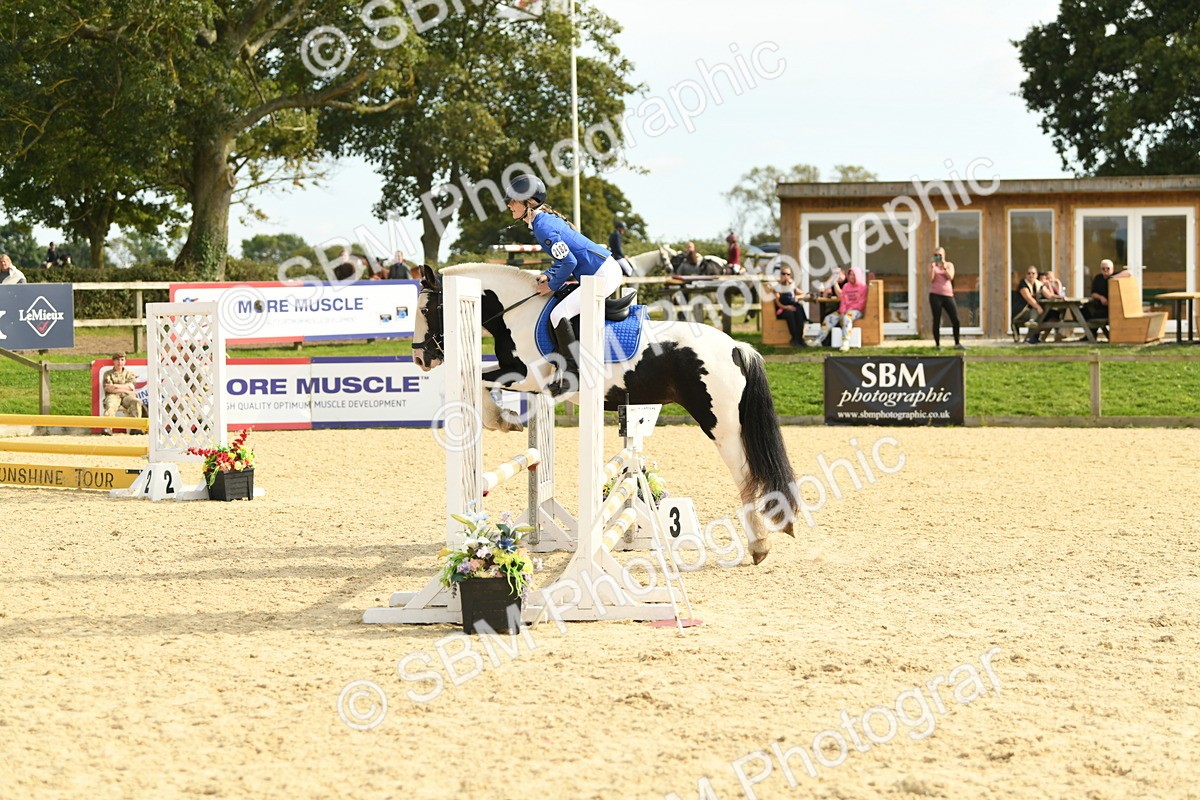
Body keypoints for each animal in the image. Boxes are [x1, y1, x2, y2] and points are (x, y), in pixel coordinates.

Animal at [412, 263, 800, 564]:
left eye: (427, 310)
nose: (420, 358)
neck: (516, 312)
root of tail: (736, 346)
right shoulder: (522, 376)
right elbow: (481, 377)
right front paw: (506, 419)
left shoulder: (530, 377)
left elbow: (479, 379)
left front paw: (501, 419)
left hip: (720, 424)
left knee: (745, 473)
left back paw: (759, 544)